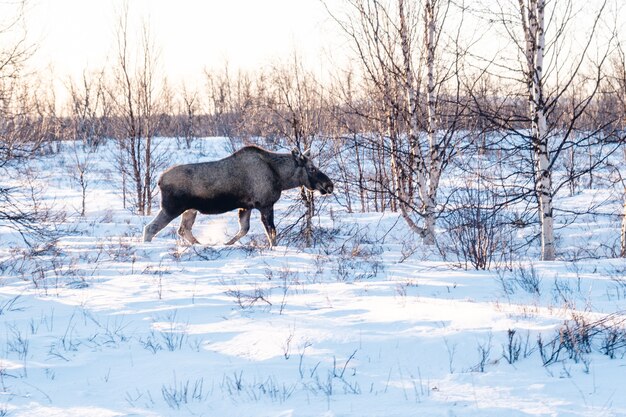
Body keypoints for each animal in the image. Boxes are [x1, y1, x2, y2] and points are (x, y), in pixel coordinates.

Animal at [141, 145, 332, 247]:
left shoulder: (246, 206)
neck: (281, 177)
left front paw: (226, 244)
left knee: (183, 230)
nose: (329, 185)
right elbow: (272, 232)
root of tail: (159, 180)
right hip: (171, 208)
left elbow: (244, 230)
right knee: (150, 228)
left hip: (189, 210)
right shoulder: (265, 204)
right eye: (312, 168)